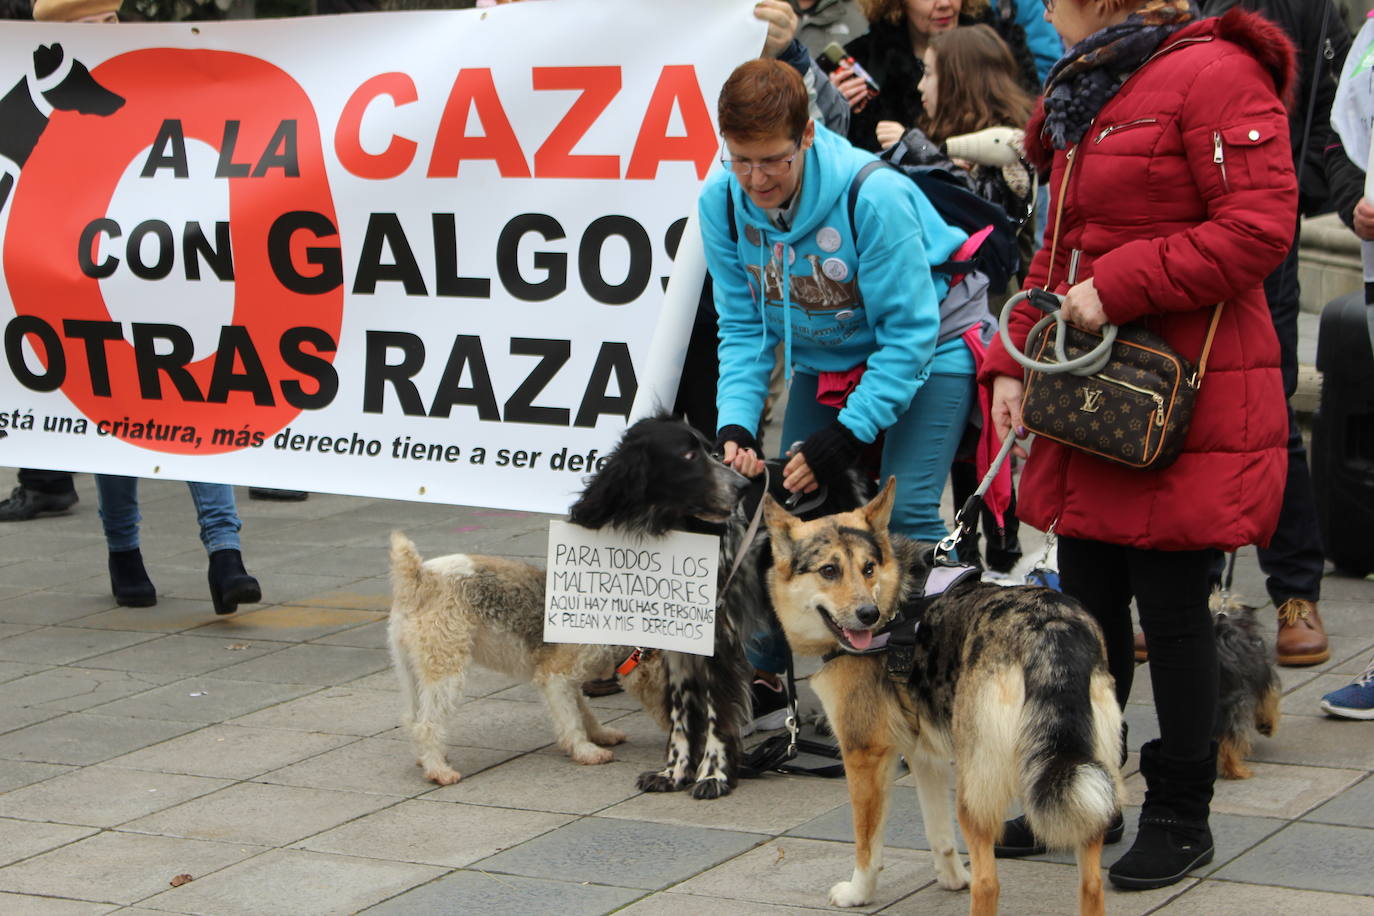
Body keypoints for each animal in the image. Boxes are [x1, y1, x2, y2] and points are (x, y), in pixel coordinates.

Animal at [568, 414, 868, 796]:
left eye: (711, 451)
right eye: (688, 456)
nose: (741, 485)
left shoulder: (717, 637)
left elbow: (714, 710)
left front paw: (713, 774)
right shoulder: (680, 641)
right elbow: (682, 712)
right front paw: (674, 772)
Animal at [763, 480, 1126, 916]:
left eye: (868, 568)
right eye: (829, 571)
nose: (868, 615)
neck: (895, 598)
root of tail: (1050, 629)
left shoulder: (864, 755)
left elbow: (868, 846)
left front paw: (858, 893)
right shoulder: (924, 754)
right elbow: (939, 834)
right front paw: (952, 879)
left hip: (977, 789)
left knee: (988, 885)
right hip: (1086, 783)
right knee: (1091, 884)